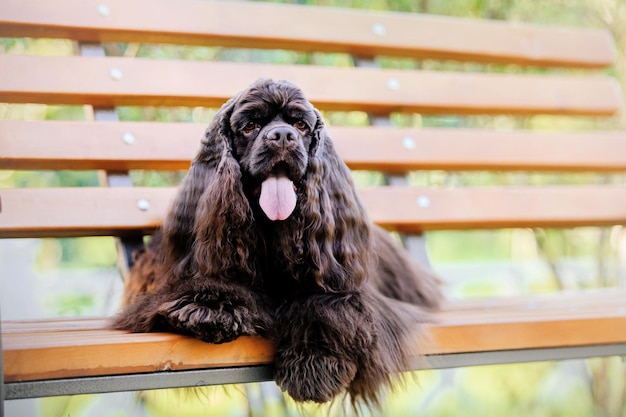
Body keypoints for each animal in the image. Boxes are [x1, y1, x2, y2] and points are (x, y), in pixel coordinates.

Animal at [113, 78, 444, 406]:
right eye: (250, 126)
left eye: (300, 125)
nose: (283, 136)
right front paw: (207, 308)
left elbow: (326, 304)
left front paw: (314, 364)